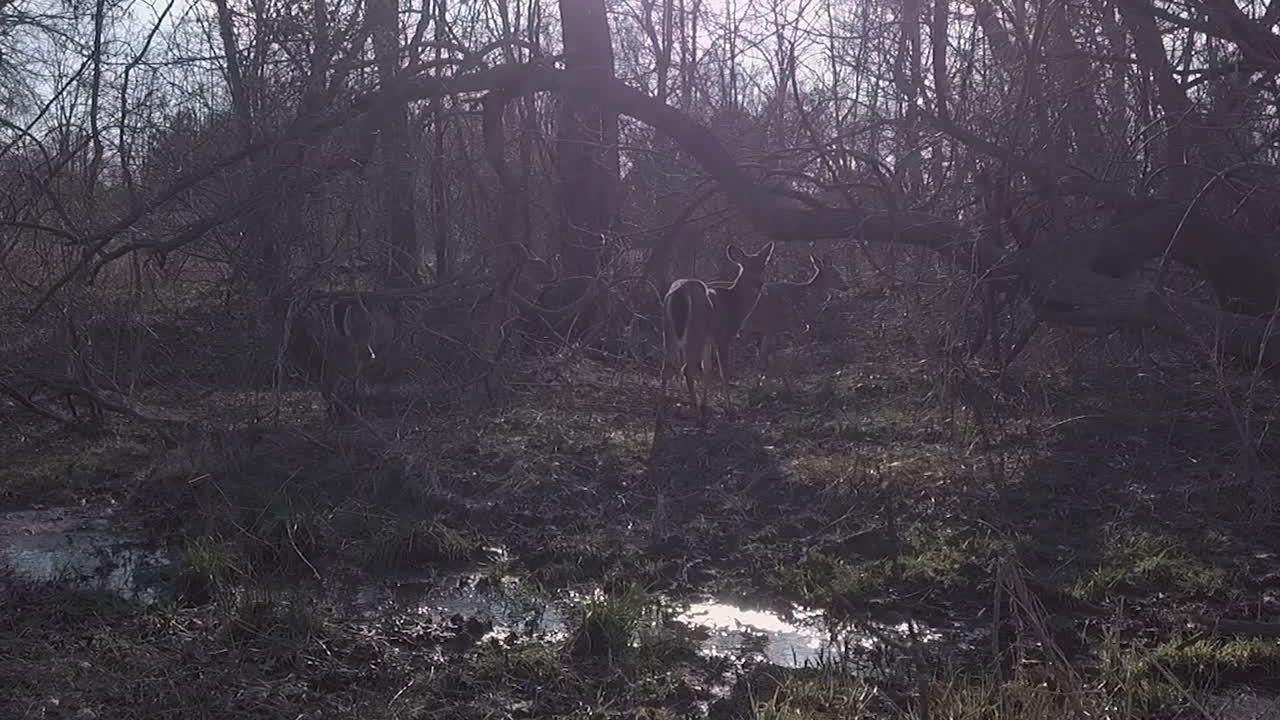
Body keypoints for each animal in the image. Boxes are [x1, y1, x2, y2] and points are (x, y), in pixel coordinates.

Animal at [659, 241, 776, 422]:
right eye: (747, 267)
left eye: (763, 265)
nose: (759, 283)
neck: (734, 304)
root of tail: (680, 292)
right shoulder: (723, 336)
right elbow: (723, 372)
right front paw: (729, 409)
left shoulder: (709, 338)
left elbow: (707, 368)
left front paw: (705, 405)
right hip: (695, 330)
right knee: (687, 369)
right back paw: (696, 415)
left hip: (669, 330)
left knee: (667, 367)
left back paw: (663, 412)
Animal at [736, 254, 847, 390]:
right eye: (835, 274)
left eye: (838, 272)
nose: (846, 287)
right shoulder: (794, 322)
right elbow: (804, 343)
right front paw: (813, 367)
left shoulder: (777, 328)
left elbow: (770, 354)